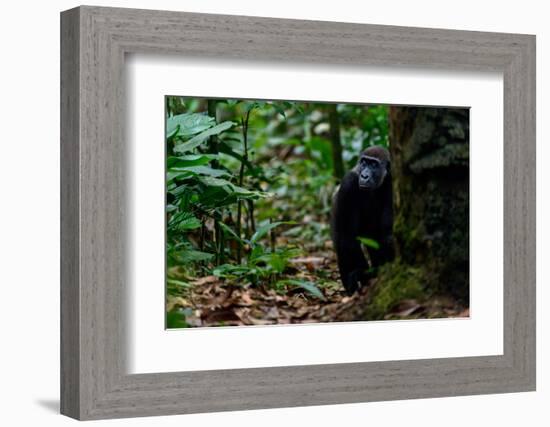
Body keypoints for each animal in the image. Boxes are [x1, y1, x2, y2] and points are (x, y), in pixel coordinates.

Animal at [332, 145, 396, 296]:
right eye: (364, 163)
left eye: (373, 165)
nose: (364, 176)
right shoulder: (348, 184)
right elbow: (349, 240)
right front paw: (366, 275)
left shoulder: (391, 181)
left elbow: (387, 234)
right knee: (342, 247)